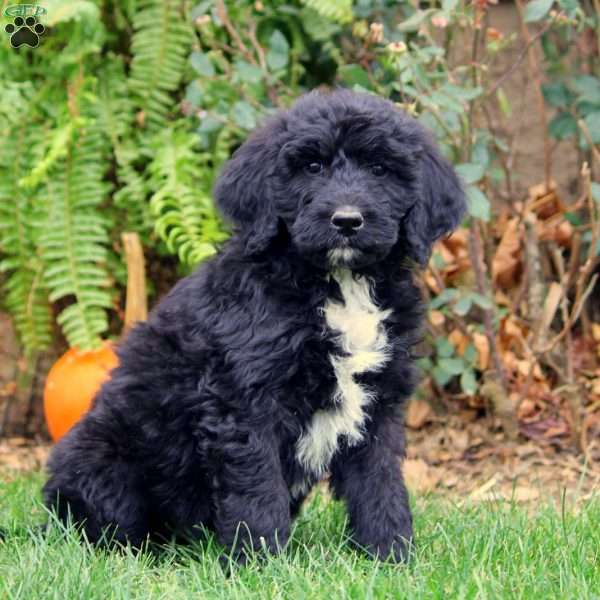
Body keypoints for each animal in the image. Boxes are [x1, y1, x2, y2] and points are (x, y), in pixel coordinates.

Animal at [43, 89, 464, 564]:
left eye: (380, 169)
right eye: (312, 167)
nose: (347, 220)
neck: (339, 284)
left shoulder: (380, 402)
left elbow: (380, 483)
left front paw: (390, 555)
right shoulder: (246, 402)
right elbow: (257, 489)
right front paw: (261, 562)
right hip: (104, 457)